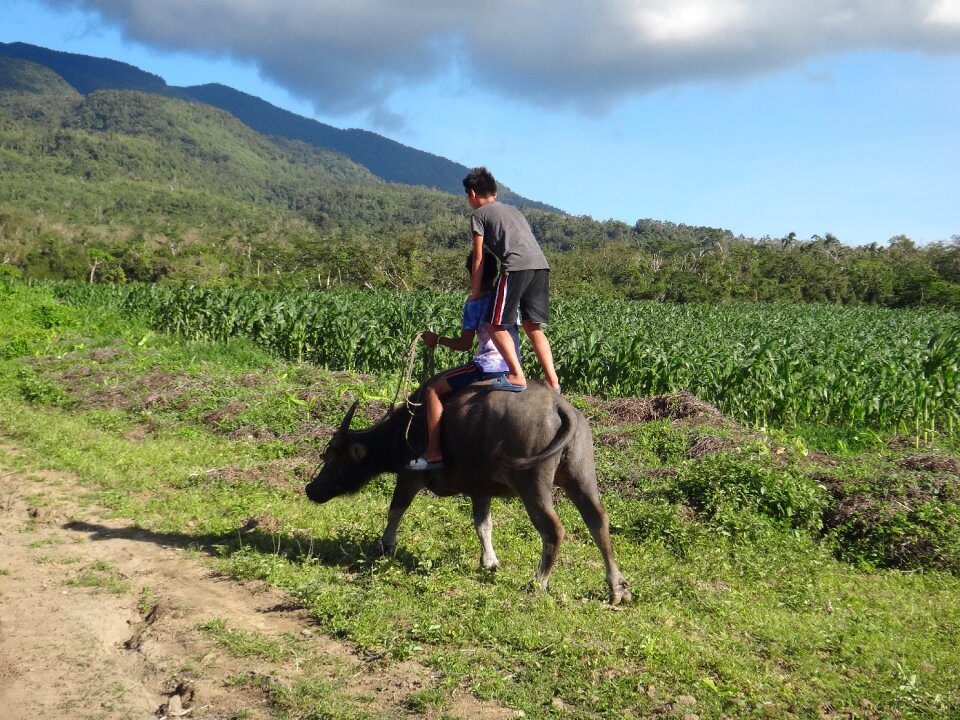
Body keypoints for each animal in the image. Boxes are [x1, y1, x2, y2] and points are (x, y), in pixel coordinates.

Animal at [308, 380, 632, 604]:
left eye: (333, 458)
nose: (311, 490)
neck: (406, 430)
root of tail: (559, 406)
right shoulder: (480, 489)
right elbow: (483, 524)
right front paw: (489, 562)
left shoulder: (410, 476)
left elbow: (396, 508)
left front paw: (386, 545)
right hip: (580, 473)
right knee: (597, 520)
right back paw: (616, 587)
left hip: (532, 482)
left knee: (553, 529)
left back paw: (539, 582)